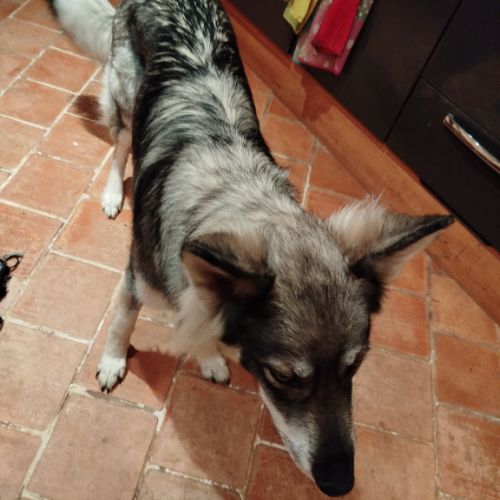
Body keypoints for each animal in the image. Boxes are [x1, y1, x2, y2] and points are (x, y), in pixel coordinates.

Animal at [49, 0, 453, 495]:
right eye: (282, 376)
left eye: (354, 367)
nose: (339, 483)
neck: (236, 193)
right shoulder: (136, 279)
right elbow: (122, 323)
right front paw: (112, 363)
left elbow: (206, 325)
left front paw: (208, 357)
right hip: (126, 103)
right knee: (119, 148)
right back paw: (111, 194)